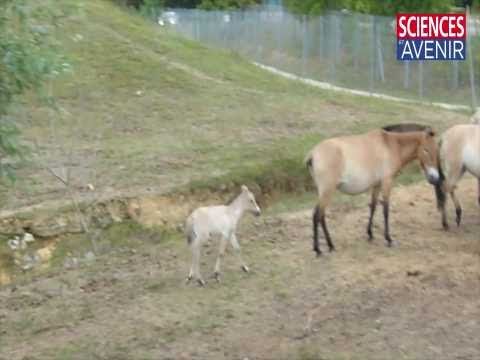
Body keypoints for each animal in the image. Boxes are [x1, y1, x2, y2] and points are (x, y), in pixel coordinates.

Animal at [308, 125, 438, 255]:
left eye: (436, 150)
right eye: (426, 150)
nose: (434, 178)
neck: (390, 145)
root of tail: (313, 154)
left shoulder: (377, 185)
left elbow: (373, 207)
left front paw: (370, 234)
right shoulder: (386, 182)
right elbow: (385, 209)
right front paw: (388, 239)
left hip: (324, 193)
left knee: (320, 215)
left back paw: (327, 246)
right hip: (327, 191)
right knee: (318, 215)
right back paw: (320, 249)